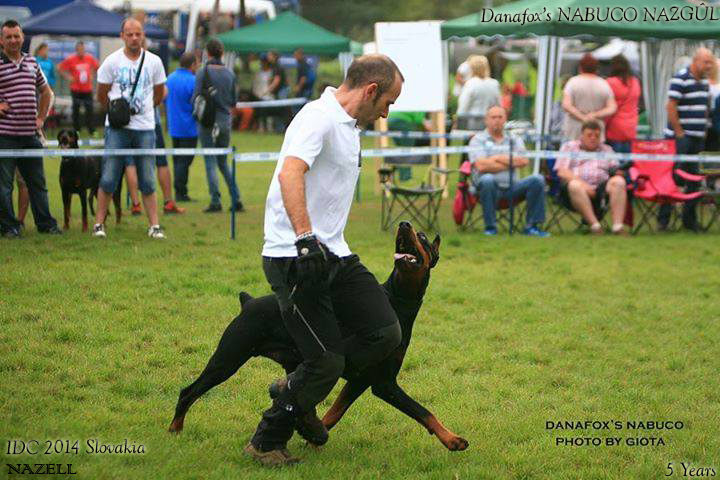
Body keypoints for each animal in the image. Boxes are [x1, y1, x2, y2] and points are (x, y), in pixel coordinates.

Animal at [169, 221, 469, 452]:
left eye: (423, 238)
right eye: (416, 234)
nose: (404, 223)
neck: (397, 300)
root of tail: (248, 301)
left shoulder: (362, 379)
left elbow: (335, 412)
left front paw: (313, 433)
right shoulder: (383, 382)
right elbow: (422, 411)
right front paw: (453, 440)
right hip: (229, 356)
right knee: (189, 391)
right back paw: (175, 429)